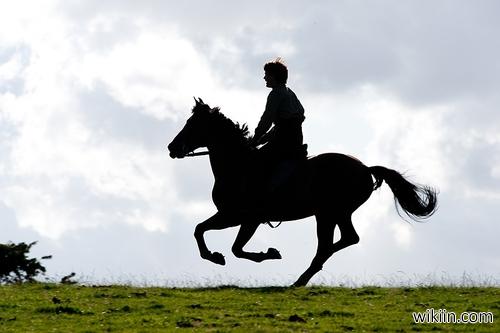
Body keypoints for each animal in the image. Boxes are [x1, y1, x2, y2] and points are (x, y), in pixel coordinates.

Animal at [168, 98, 438, 286]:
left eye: (193, 125)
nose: (172, 148)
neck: (238, 165)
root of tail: (365, 168)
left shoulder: (242, 217)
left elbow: (230, 245)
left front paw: (262, 254)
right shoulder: (233, 217)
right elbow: (202, 230)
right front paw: (216, 256)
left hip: (330, 213)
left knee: (331, 244)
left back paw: (302, 277)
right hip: (333, 214)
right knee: (344, 240)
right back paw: (306, 275)